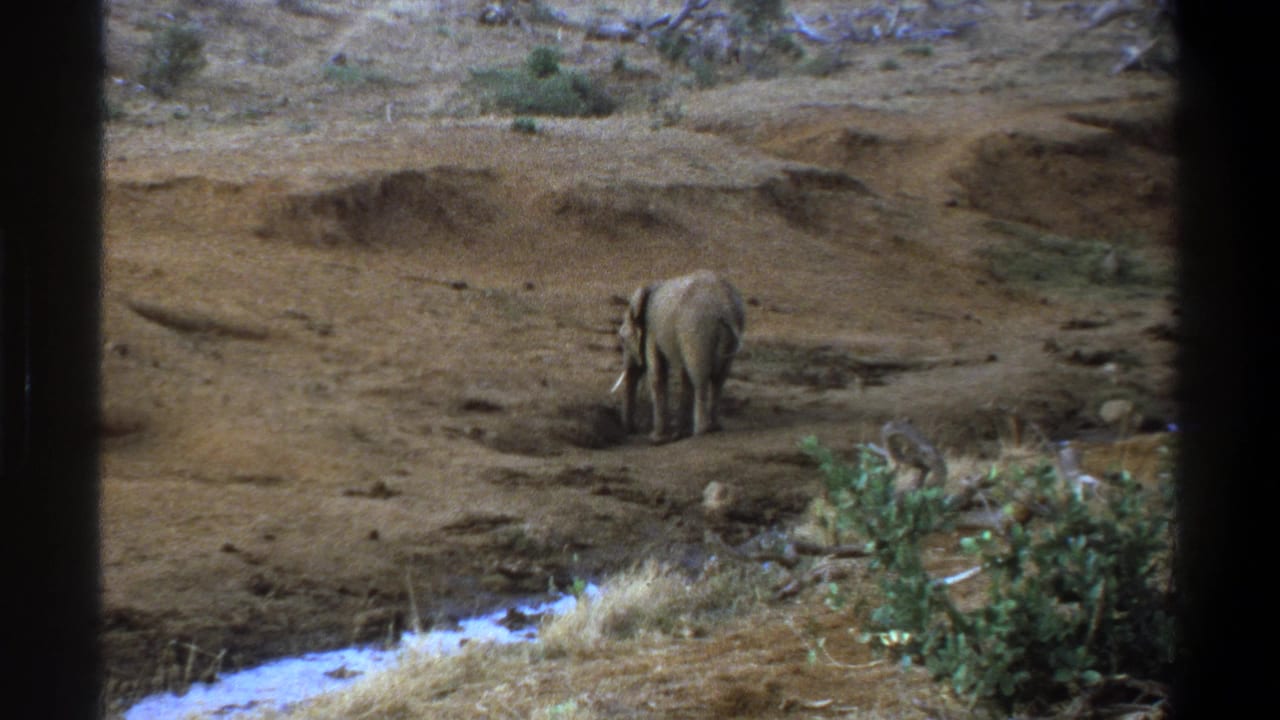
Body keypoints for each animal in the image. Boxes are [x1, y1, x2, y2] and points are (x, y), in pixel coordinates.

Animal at [612, 270, 745, 443]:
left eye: (622, 340)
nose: (632, 431)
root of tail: (726, 305)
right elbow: (683, 375)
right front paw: (680, 433)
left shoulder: (652, 331)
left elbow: (658, 373)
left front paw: (657, 438)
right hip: (726, 335)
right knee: (719, 378)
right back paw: (714, 427)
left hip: (697, 329)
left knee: (699, 376)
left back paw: (702, 430)